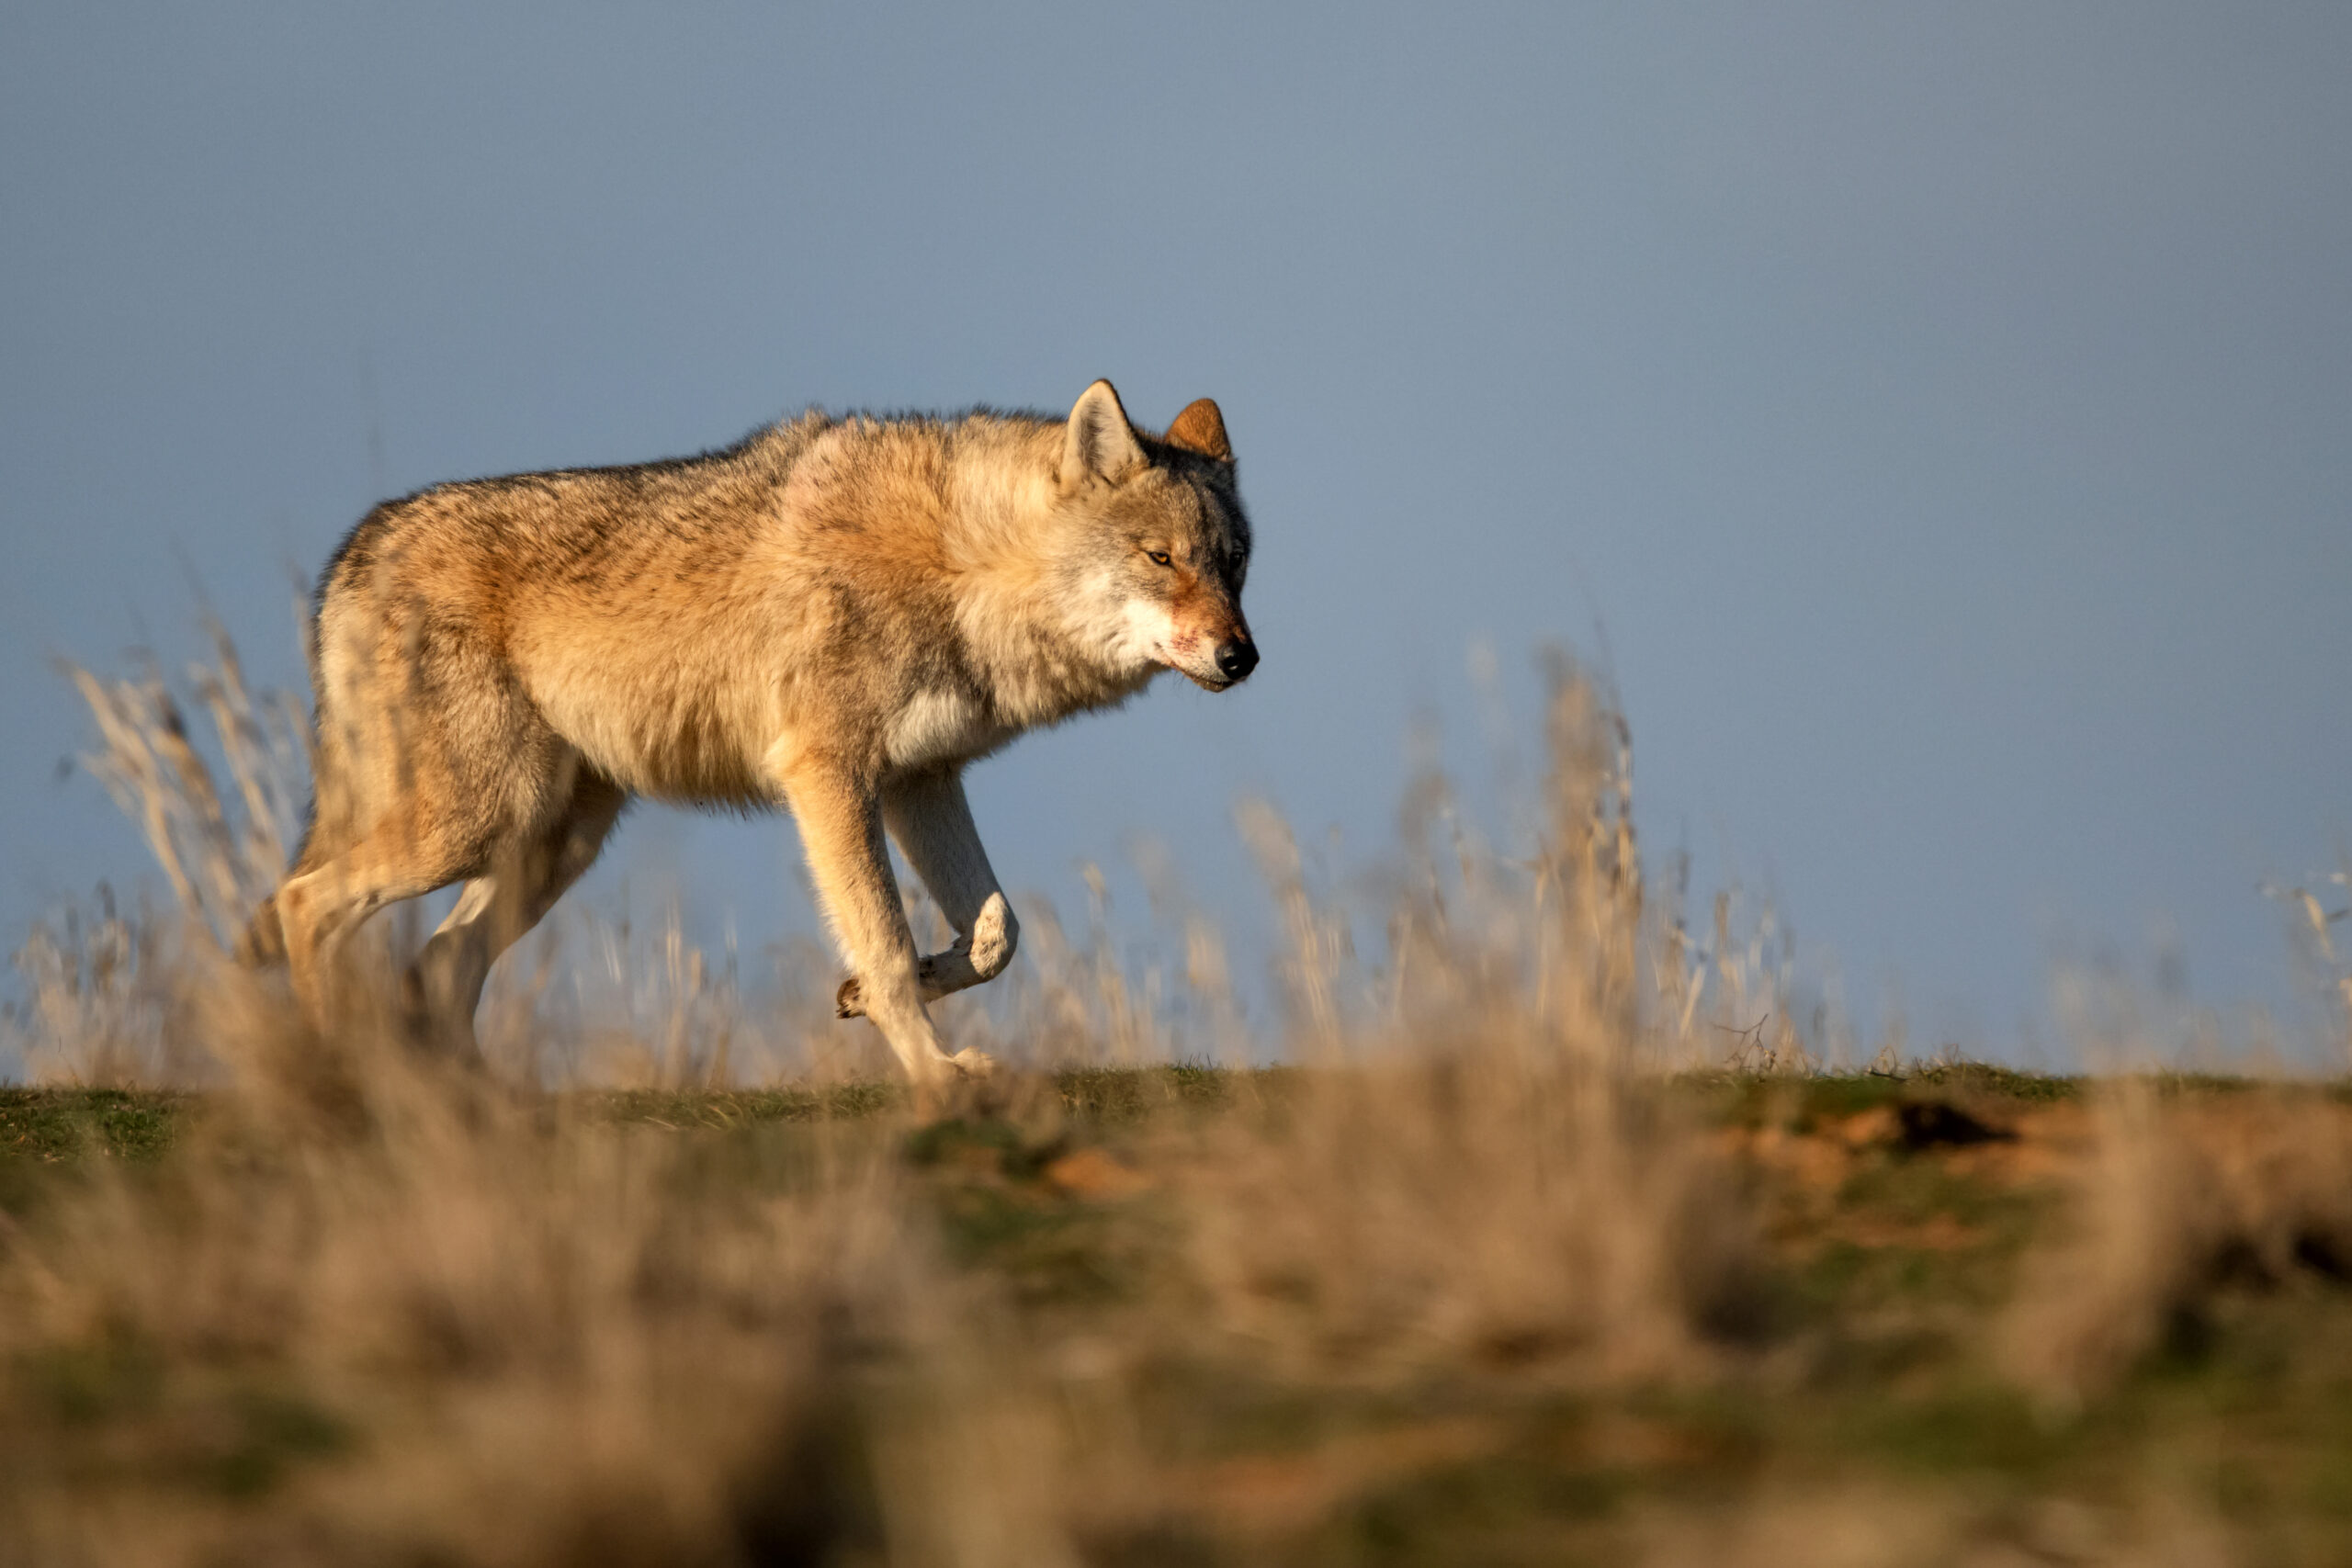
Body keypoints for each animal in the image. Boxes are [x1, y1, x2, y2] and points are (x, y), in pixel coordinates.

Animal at [245, 380, 1257, 1088]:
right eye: (1161, 559)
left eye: (1234, 565)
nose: (1242, 657)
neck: (962, 566)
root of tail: (357, 549)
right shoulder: (827, 775)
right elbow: (886, 939)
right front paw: (933, 1072)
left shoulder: (920, 779)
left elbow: (994, 934)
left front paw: (865, 997)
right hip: (476, 826)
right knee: (303, 903)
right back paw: (342, 1079)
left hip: (548, 846)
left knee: (437, 962)